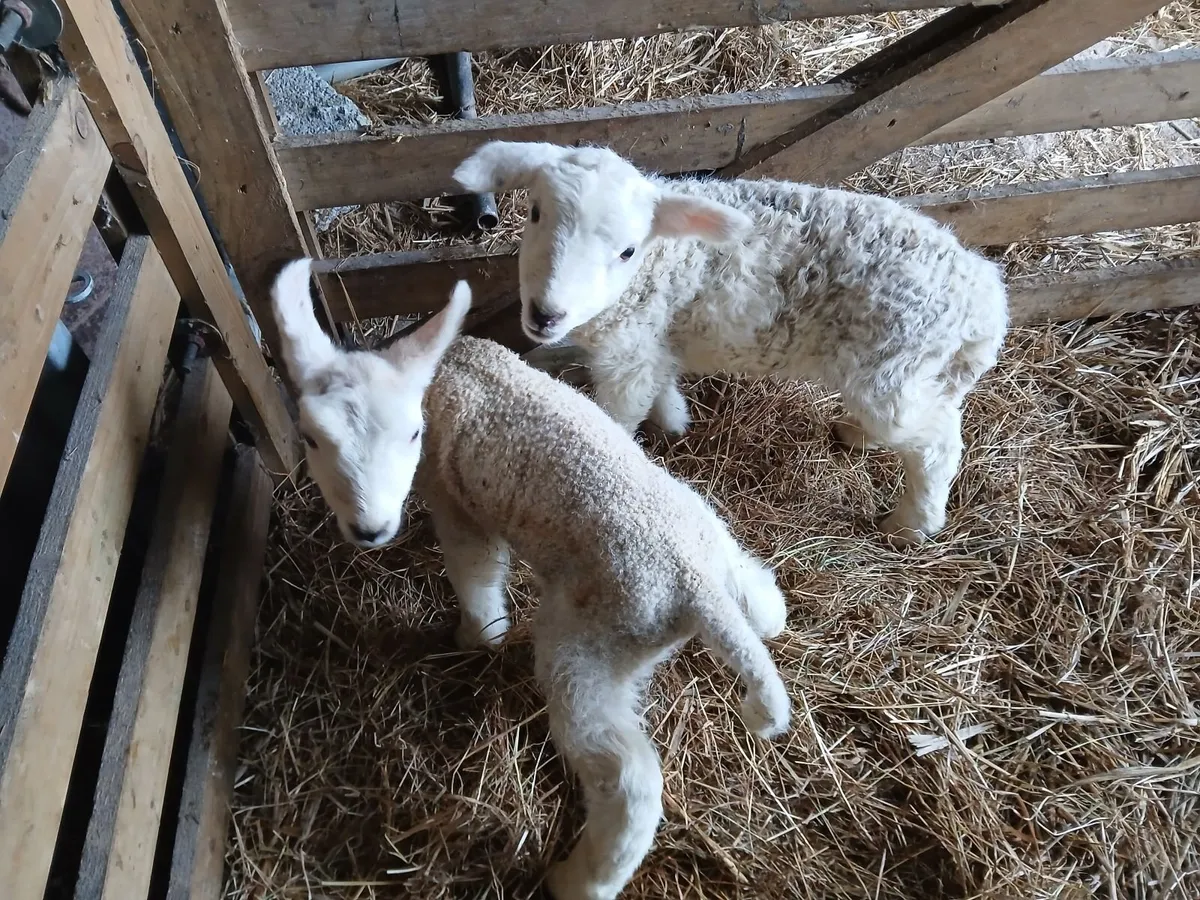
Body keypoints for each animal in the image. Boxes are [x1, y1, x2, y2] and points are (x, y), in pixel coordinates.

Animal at [270, 259, 791, 900]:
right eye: (312, 439)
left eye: (412, 436)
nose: (370, 529)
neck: (448, 375)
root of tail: (693, 584)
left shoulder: (454, 500)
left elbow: (475, 571)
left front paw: (477, 638)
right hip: (707, 535)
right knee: (761, 598)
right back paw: (763, 612)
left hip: (590, 643)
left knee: (629, 780)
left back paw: (576, 879)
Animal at [452, 141, 1010, 546]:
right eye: (534, 214)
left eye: (627, 251)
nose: (545, 314)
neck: (660, 260)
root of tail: (984, 299)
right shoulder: (654, 337)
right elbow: (661, 381)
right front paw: (674, 417)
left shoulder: (627, 352)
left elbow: (618, 414)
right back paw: (858, 435)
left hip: (891, 372)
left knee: (938, 442)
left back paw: (911, 524)